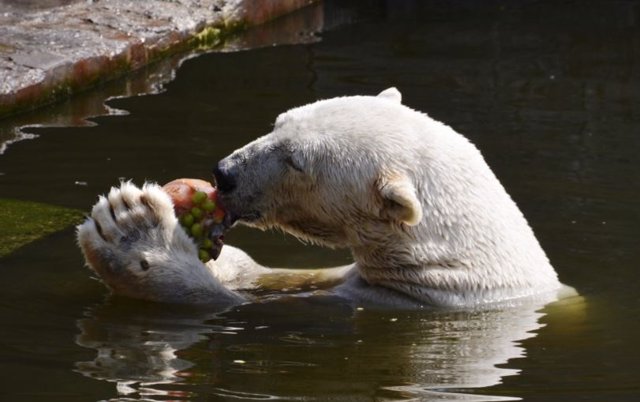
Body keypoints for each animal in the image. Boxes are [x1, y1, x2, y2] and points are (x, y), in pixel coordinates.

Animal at [77, 88, 572, 308]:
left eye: (296, 161)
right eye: (279, 122)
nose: (224, 174)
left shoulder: (395, 302)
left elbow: (229, 305)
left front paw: (131, 229)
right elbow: (275, 276)